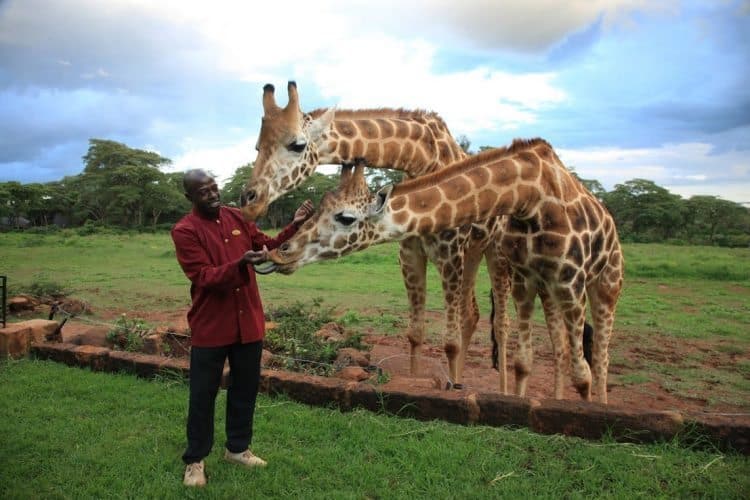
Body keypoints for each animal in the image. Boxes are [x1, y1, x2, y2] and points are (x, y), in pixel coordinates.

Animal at [242, 81, 511, 389]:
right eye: (257, 145)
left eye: (297, 144)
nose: (249, 201)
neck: (423, 160)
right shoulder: (410, 253)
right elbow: (415, 335)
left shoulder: (449, 253)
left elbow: (450, 344)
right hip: (474, 252)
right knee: (471, 314)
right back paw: (460, 380)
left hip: (497, 252)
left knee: (501, 325)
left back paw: (502, 388)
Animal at [262, 139, 624, 404]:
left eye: (346, 218)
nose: (282, 251)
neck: (528, 196)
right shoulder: (528, 278)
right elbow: (525, 361)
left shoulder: (570, 279)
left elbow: (584, 374)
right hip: (543, 288)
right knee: (559, 346)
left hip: (601, 284)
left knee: (600, 356)